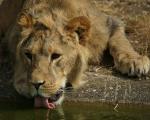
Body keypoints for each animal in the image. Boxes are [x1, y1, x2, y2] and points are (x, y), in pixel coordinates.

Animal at [4, 0, 150, 109]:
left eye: (56, 56)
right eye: (28, 55)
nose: (35, 84)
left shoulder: (111, 22)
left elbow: (120, 40)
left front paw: (135, 61)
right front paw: (23, 84)